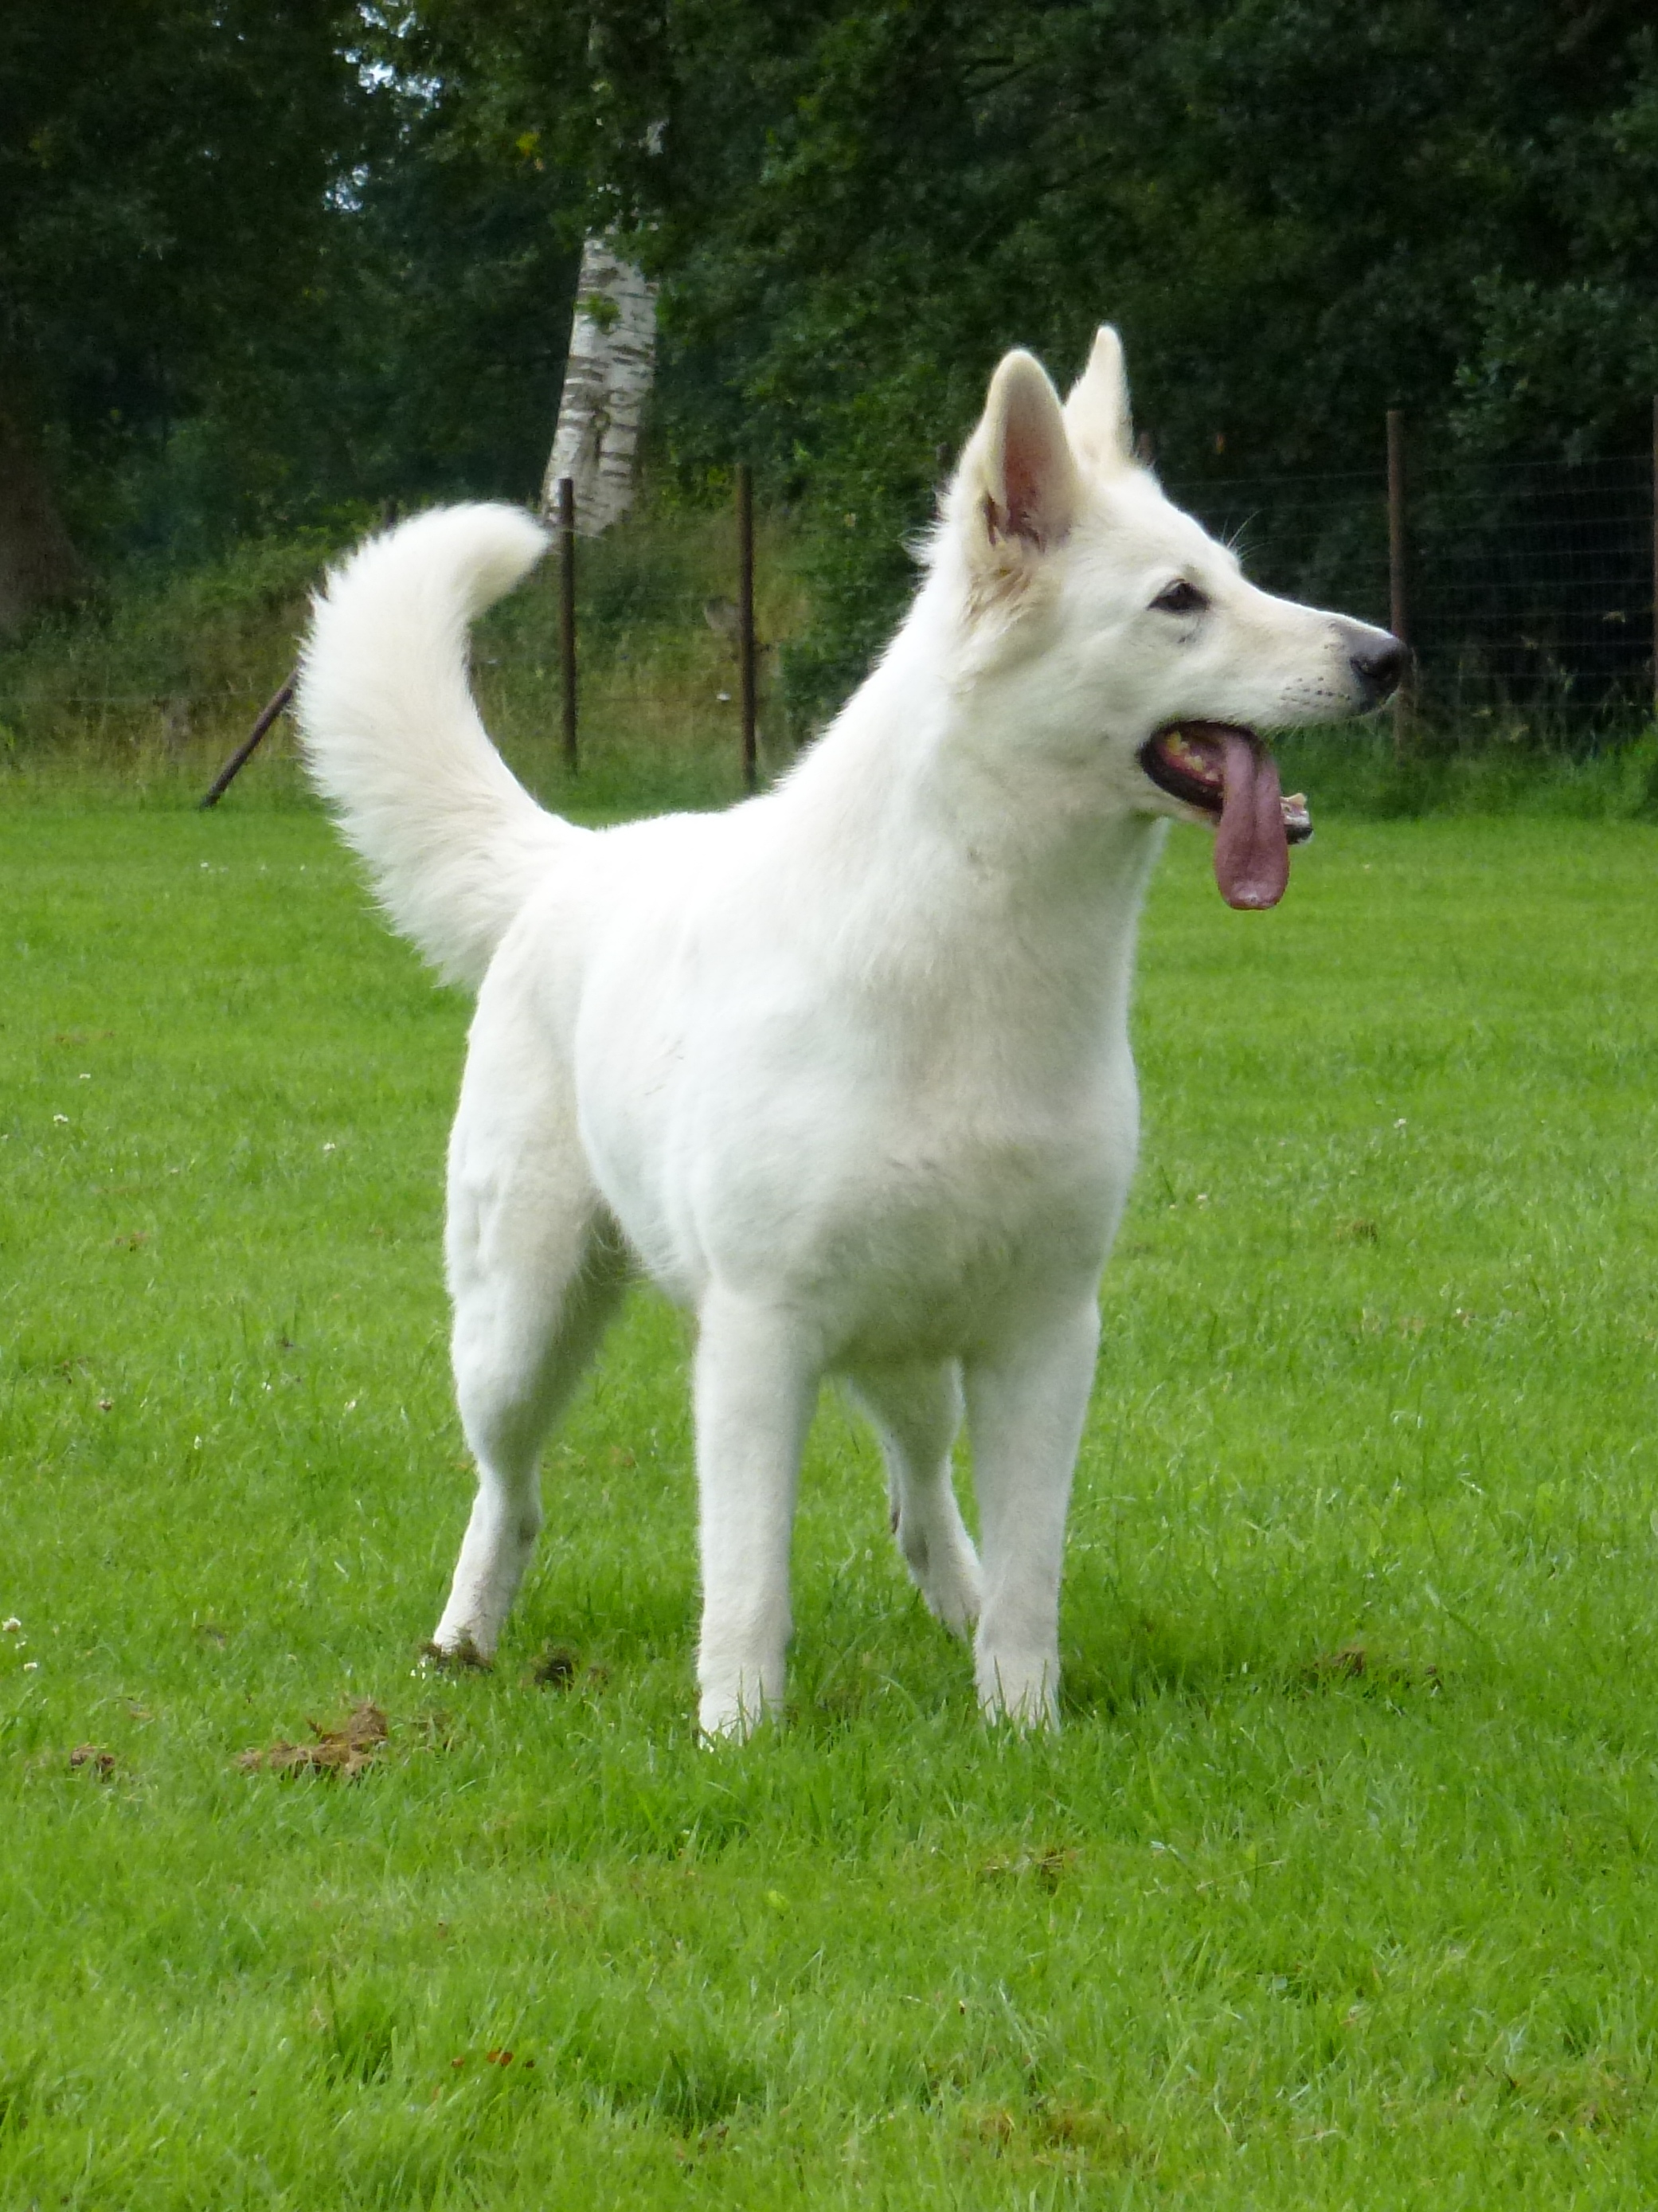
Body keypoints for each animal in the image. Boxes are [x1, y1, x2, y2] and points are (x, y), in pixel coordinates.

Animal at [296, 329, 1400, 1735]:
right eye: (1177, 600)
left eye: (1237, 573)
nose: (1387, 657)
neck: (973, 968)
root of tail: (572, 861)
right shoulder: (759, 1346)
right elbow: (746, 1582)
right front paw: (736, 1737)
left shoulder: (1046, 1338)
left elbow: (1032, 1574)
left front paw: (1022, 1729)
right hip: (520, 1326)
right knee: (510, 1491)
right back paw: (463, 1642)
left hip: (909, 1356)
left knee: (921, 1506)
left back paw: (957, 1613)